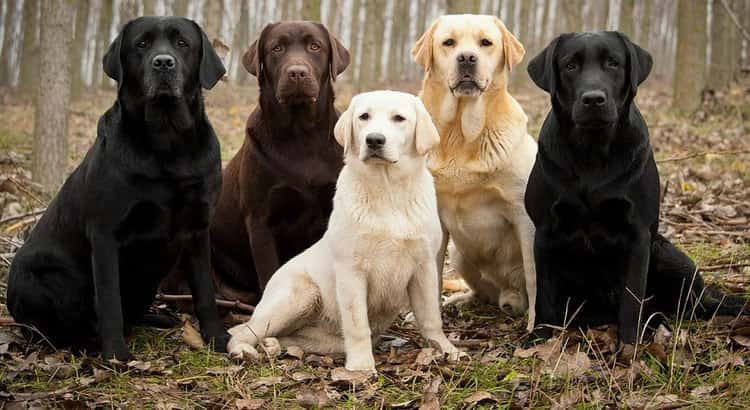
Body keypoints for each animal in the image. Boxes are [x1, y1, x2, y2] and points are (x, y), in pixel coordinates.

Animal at [7, 17, 229, 360]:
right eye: (141, 44)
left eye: (182, 44)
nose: (163, 63)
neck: (167, 140)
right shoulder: (105, 235)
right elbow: (110, 301)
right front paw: (115, 356)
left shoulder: (198, 228)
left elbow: (205, 291)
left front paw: (217, 338)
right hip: (44, 281)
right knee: (53, 327)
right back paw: (83, 343)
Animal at [228, 91, 464, 374]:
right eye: (364, 117)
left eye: (399, 118)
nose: (374, 140)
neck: (387, 192)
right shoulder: (352, 271)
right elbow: (357, 324)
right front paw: (361, 366)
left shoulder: (424, 266)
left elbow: (430, 317)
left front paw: (446, 350)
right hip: (301, 295)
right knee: (242, 330)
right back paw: (243, 351)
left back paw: (271, 346)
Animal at [412, 15, 540, 330]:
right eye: (448, 43)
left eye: (486, 43)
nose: (467, 58)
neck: (460, 132)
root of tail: (509, 293)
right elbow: (431, 277)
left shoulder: (524, 214)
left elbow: (535, 278)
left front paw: (536, 326)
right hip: (459, 254)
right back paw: (462, 300)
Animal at [524, 32, 748, 346]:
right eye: (570, 66)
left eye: (613, 63)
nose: (593, 99)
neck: (592, 154)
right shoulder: (545, 233)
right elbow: (544, 295)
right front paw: (539, 340)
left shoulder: (639, 235)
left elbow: (631, 300)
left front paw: (629, 346)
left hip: (669, 255)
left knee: (694, 306)